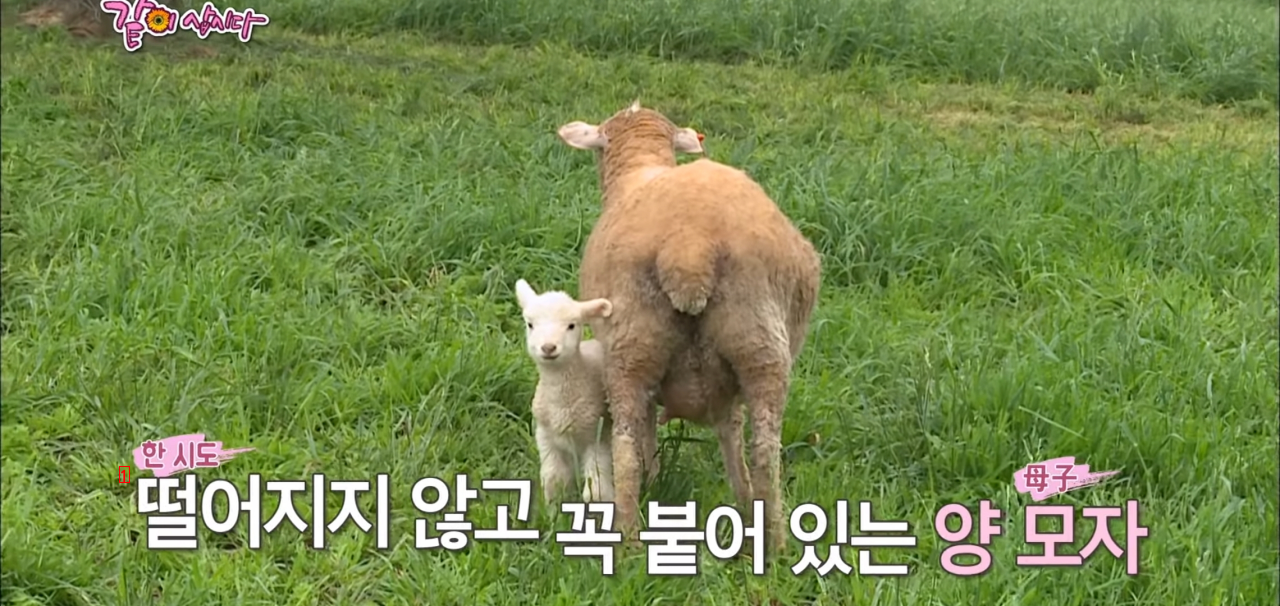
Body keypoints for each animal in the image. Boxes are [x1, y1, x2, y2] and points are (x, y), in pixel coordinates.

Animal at [519, 276, 619, 502]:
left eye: (571, 325)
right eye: (530, 324)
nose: (548, 347)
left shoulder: (598, 438)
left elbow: (596, 491)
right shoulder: (545, 436)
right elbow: (554, 480)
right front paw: (553, 507)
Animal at [552, 100, 819, 553]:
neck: (641, 165)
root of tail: (690, 248)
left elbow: (647, 439)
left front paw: (655, 479)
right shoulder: (727, 388)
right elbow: (731, 435)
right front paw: (742, 501)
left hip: (632, 347)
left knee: (625, 448)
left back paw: (629, 541)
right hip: (759, 346)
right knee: (765, 454)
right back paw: (776, 543)